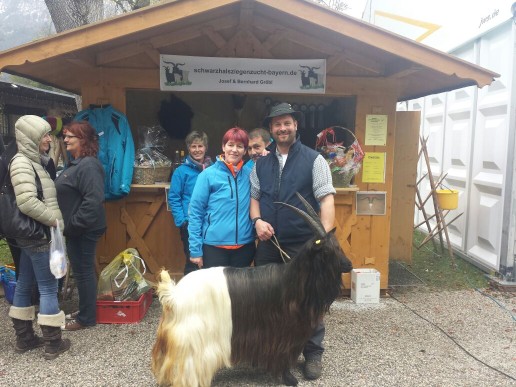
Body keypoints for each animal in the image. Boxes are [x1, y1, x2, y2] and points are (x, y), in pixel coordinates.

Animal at [152, 196, 354, 387]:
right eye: (327, 250)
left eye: (338, 246)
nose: (349, 265)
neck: (291, 281)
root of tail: (174, 296)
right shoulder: (283, 333)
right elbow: (283, 358)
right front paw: (289, 379)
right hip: (193, 341)